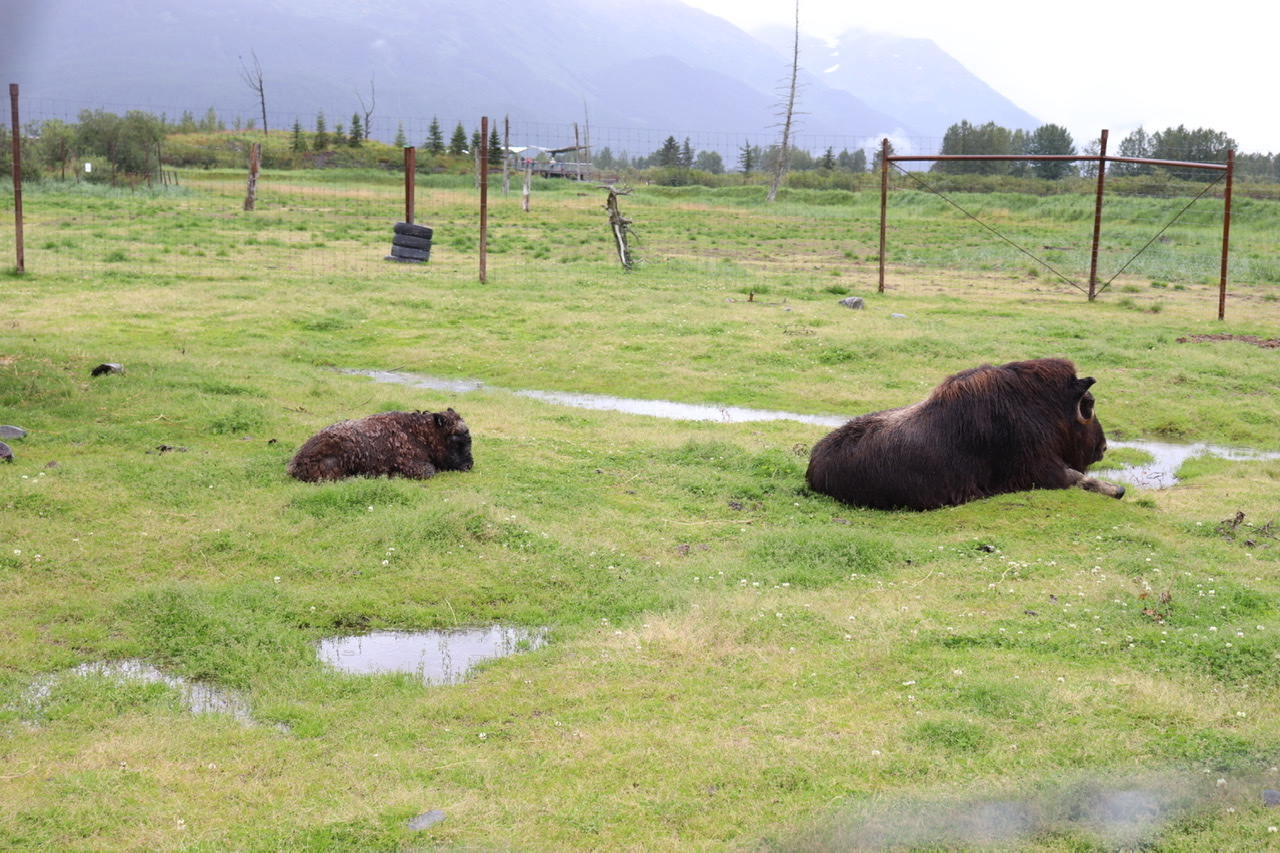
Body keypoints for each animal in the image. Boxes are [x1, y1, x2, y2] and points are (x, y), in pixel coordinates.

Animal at [805, 358, 1124, 510]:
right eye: (1089, 404)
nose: (1103, 447)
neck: (1043, 407)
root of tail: (814, 463)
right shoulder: (1038, 468)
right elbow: (1076, 478)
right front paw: (1117, 489)